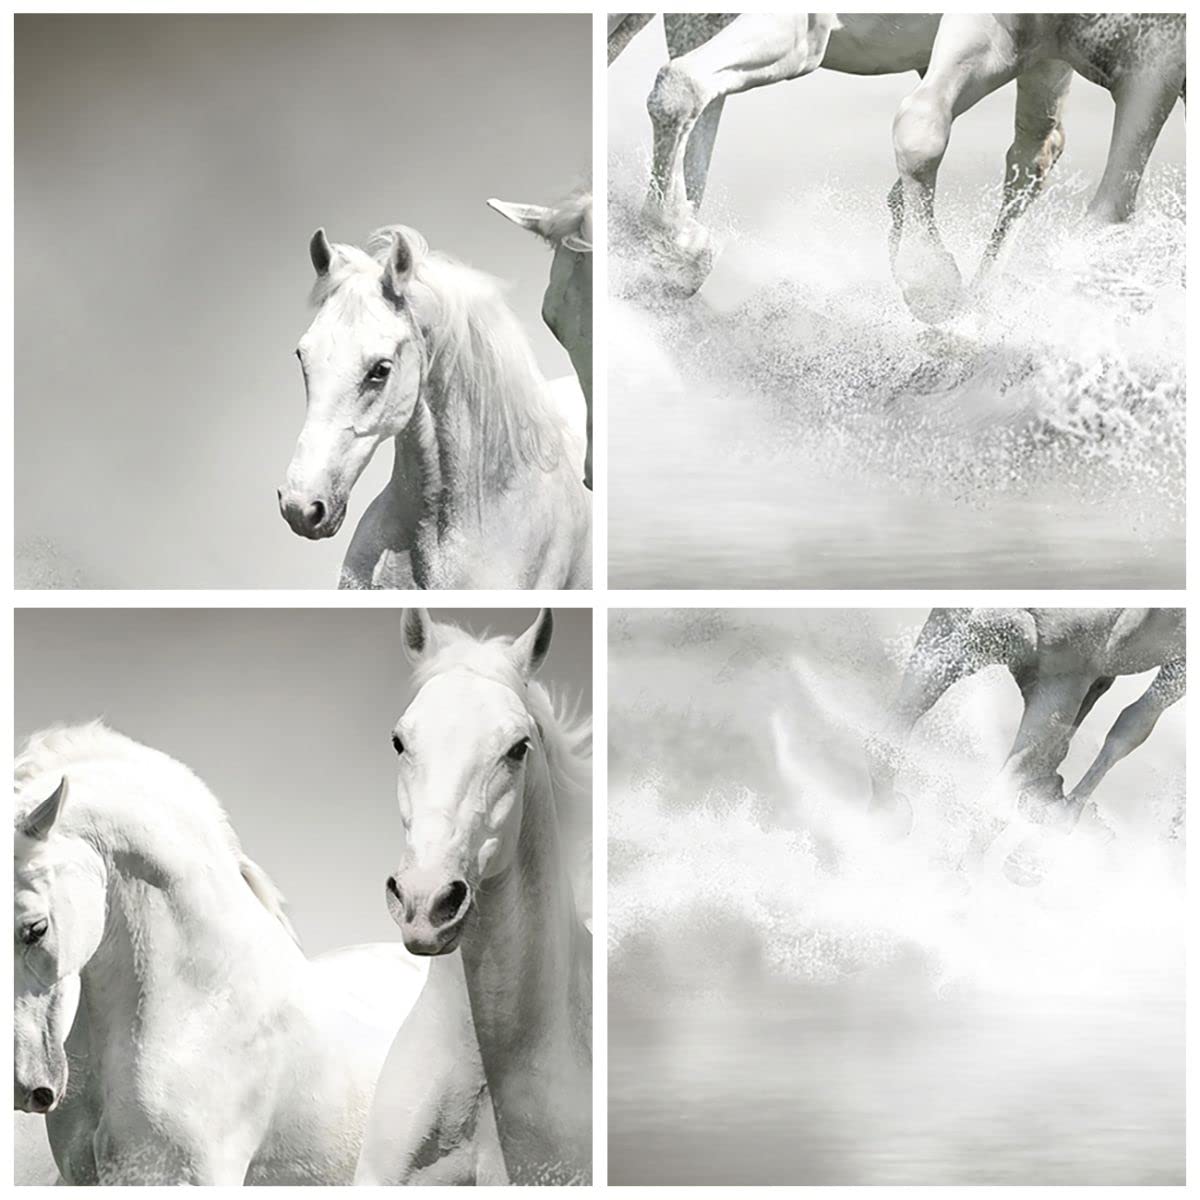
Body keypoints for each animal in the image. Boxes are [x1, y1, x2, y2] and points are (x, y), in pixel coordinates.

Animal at [866, 608, 1185, 840]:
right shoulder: (951, 637)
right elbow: (884, 741)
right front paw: (892, 816)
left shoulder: (1061, 685)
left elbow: (992, 806)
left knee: (1132, 725)